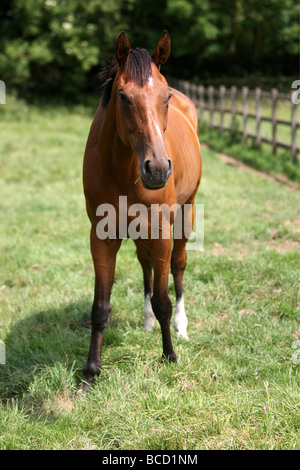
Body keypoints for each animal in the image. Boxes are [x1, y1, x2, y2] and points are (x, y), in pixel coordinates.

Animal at [81, 32, 202, 386]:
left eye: (166, 96)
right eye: (123, 96)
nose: (158, 170)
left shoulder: (162, 233)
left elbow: (163, 298)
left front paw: (169, 355)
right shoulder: (102, 237)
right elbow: (100, 306)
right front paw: (91, 370)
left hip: (186, 214)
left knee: (178, 266)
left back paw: (181, 326)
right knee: (144, 263)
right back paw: (147, 321)